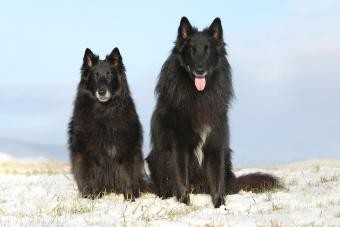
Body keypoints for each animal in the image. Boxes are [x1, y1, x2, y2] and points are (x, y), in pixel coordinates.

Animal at [68, 47, 144, 200]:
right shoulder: (87, 152)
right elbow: (88, 174)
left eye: (109, 75)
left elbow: (127, 174)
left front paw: (129, 197)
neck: (104, 112)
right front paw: (90, 196)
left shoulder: (126, 149)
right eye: (95, 76)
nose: (102, 91)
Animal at [146, 16, 278, 207]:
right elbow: (181, 179)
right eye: (192, 50)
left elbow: (217, 180)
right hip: (154, 158)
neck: (200, 96)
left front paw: (220, 205)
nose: (200, 70)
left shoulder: (216, 143)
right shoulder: (178, 146)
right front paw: (185, 204)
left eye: (207, 51)